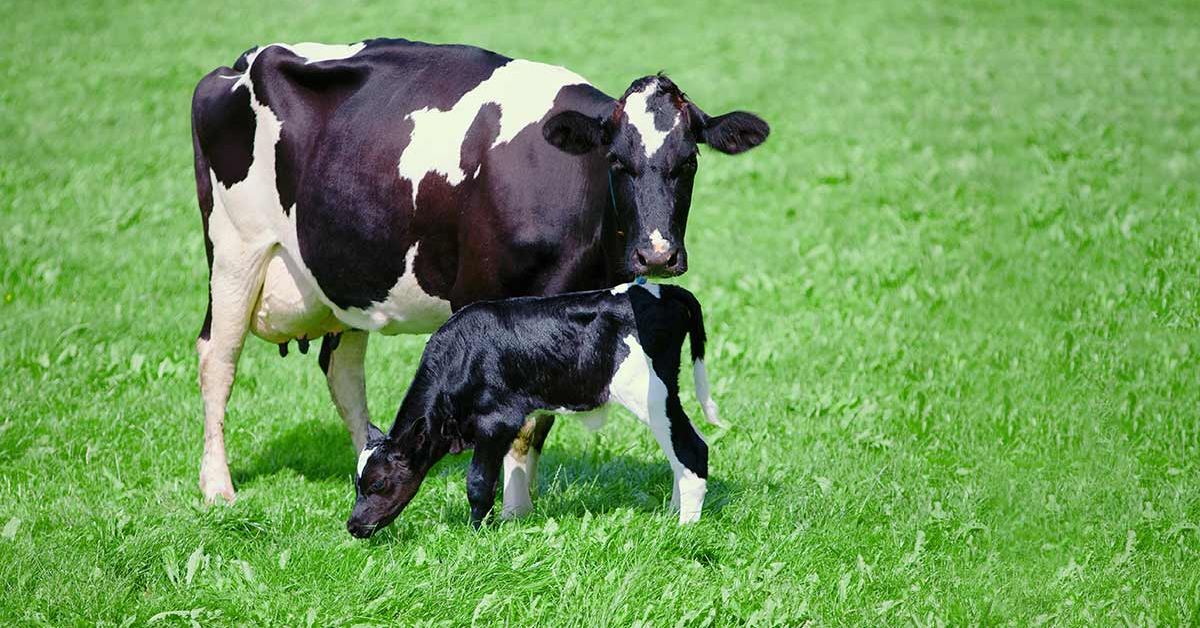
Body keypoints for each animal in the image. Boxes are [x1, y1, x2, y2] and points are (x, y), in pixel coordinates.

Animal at [187, 39, 768, 509]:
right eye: (617, 161)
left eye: (689, 162)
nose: (657, 255)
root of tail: (243, 61)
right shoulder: (484, 299)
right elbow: (516, 424)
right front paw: (510, 511)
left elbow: (537, 422)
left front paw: (518, 508)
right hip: (234, 249)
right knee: (218, 358)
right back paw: (218, 489)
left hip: (344, 275)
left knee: (343, 371)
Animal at [348, 279, 720, 535]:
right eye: (357, 484)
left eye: (377, 484)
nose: (352, 526)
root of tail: (662, 289)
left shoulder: (496, 421)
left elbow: (479, 481)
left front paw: (477, 534)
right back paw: (673, 514)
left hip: (649, 392)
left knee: (692, 448)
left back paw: (685, 528)